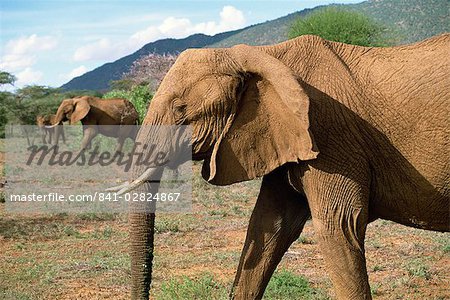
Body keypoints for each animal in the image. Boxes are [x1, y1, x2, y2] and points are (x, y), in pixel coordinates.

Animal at [107, 34, 448, 298]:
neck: (265, 55)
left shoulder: (330, 138)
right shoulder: (282, 135)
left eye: (180, 110)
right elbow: (268, 225)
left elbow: (339, 226)